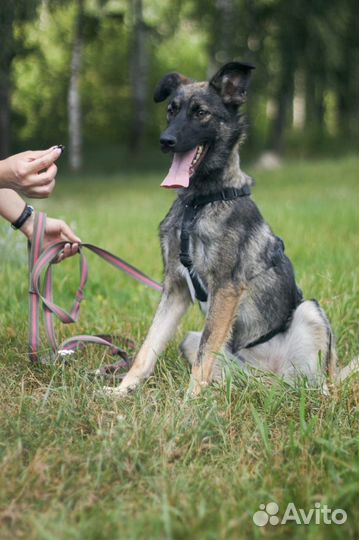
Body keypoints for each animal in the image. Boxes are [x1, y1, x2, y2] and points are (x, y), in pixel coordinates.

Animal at [106, 61, 358, 396]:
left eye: (201, 113)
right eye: (172, 110)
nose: (165, 140)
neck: (198, 202)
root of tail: (274, 375)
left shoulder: (226, 288)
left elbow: (204, 356)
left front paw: (189, 401)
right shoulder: (175, 288)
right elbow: (149, 347)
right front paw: (123, 391)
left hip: (310, 312)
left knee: (317, 385)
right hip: (194, 341)